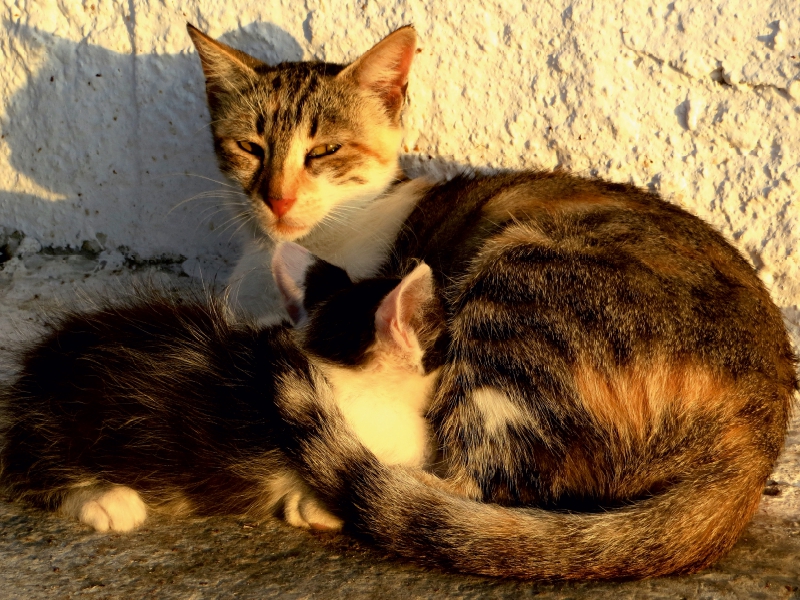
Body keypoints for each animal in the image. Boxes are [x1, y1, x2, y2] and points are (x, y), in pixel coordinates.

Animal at [186, 24, 792, 580]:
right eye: (249, 148)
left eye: (324, 151)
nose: (277, 198)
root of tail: (761, 429)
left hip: (520, 285)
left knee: (477, 485)